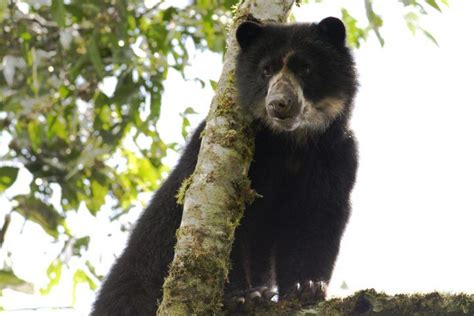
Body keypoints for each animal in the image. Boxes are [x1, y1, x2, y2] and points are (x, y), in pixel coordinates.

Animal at [92, 17, 358, 316]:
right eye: (266, 70)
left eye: (306, 68)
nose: (279, 104)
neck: (290, 143)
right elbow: (229, 232)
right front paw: (244, 297)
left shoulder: (336, 155)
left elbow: (317, 217)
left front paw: (306, 287)